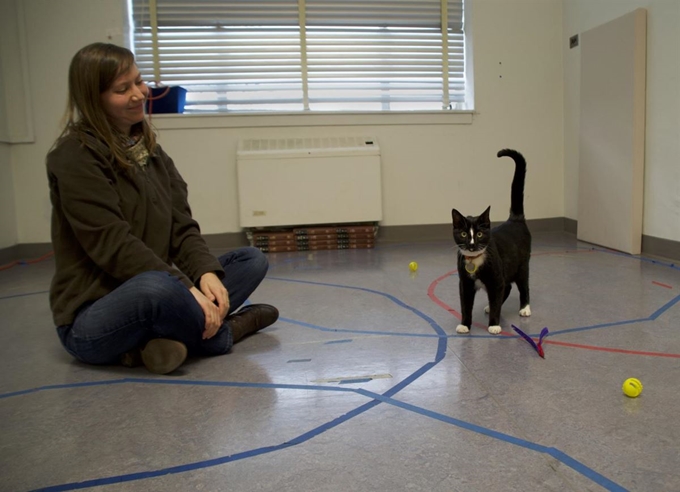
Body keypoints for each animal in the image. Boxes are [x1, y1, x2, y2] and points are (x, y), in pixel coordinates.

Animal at [452, 150, 532, 334]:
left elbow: (497, 298)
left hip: (522, 265)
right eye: (464, 234)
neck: (475, 261)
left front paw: (494, 325)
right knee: (507, 287)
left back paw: (525, 308)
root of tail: (515, 219)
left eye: (480, 234)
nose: (472, 245)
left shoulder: (495, 280)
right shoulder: (465, 284)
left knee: (522, 285)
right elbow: (465, 305)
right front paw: (465, 324)